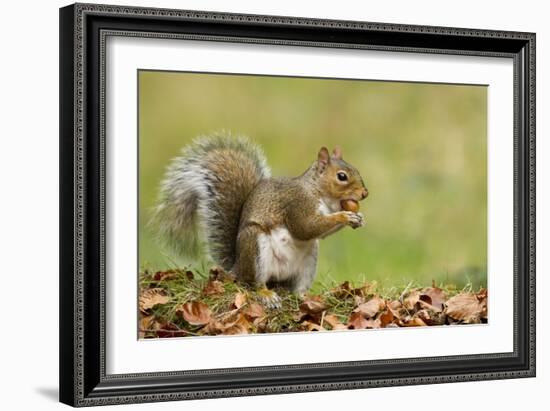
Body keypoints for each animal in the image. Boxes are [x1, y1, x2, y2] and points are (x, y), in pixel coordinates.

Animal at [154, 134, 370, 308]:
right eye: (341, 176)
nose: (365, 193)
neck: (317, 192)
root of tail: (237, 268)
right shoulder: (297, 204)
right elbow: (306, 228)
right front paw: (345, 216)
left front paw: (358, 218)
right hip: (256, 247)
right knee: (253, 283)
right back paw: (266, 294)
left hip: (309, 261)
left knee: (296, 289)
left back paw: (305, 296)